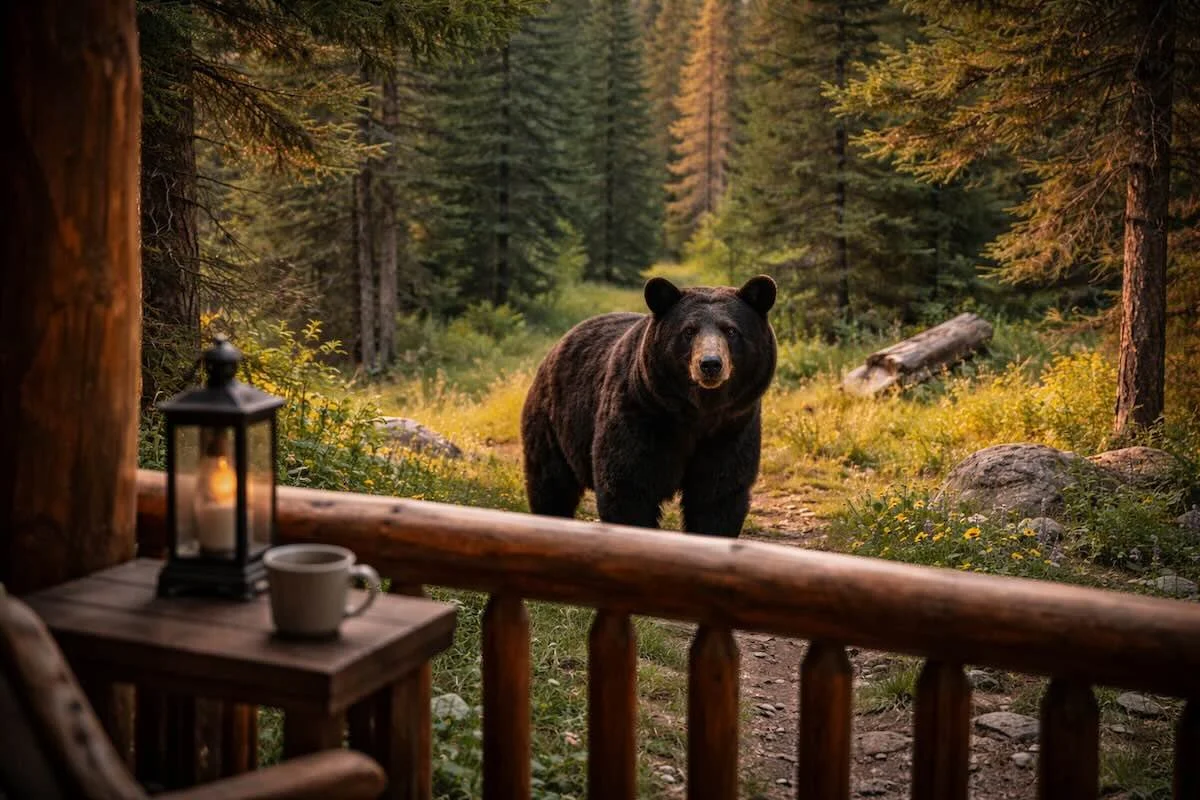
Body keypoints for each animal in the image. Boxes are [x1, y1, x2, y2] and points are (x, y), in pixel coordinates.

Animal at [520, 274, 777, 537]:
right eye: (689, 330)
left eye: (731, 330)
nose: (710, 364)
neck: (696, 413)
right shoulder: (641, 416)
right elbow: (629, 486)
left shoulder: (732, 427)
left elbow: (717, 495)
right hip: (554, 423)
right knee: (551, 483)